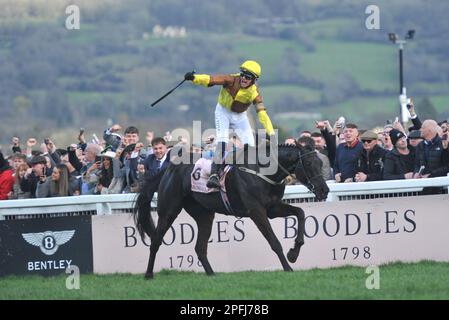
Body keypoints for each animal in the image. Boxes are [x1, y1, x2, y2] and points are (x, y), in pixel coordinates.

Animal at [131, 141, 328, 278]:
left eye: (320, 163)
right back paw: (148, 274)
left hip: (204, 215)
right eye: (308, 164)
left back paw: (212, 275)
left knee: (200, 247)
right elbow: (274, 241)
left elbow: (300, 213)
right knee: (156, 240)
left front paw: (294, 253)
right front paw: (288, 267)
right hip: (169, 211)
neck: (263, 171)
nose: (324, 190)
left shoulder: (272, 208)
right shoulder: (256, 211)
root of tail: (168, 170)